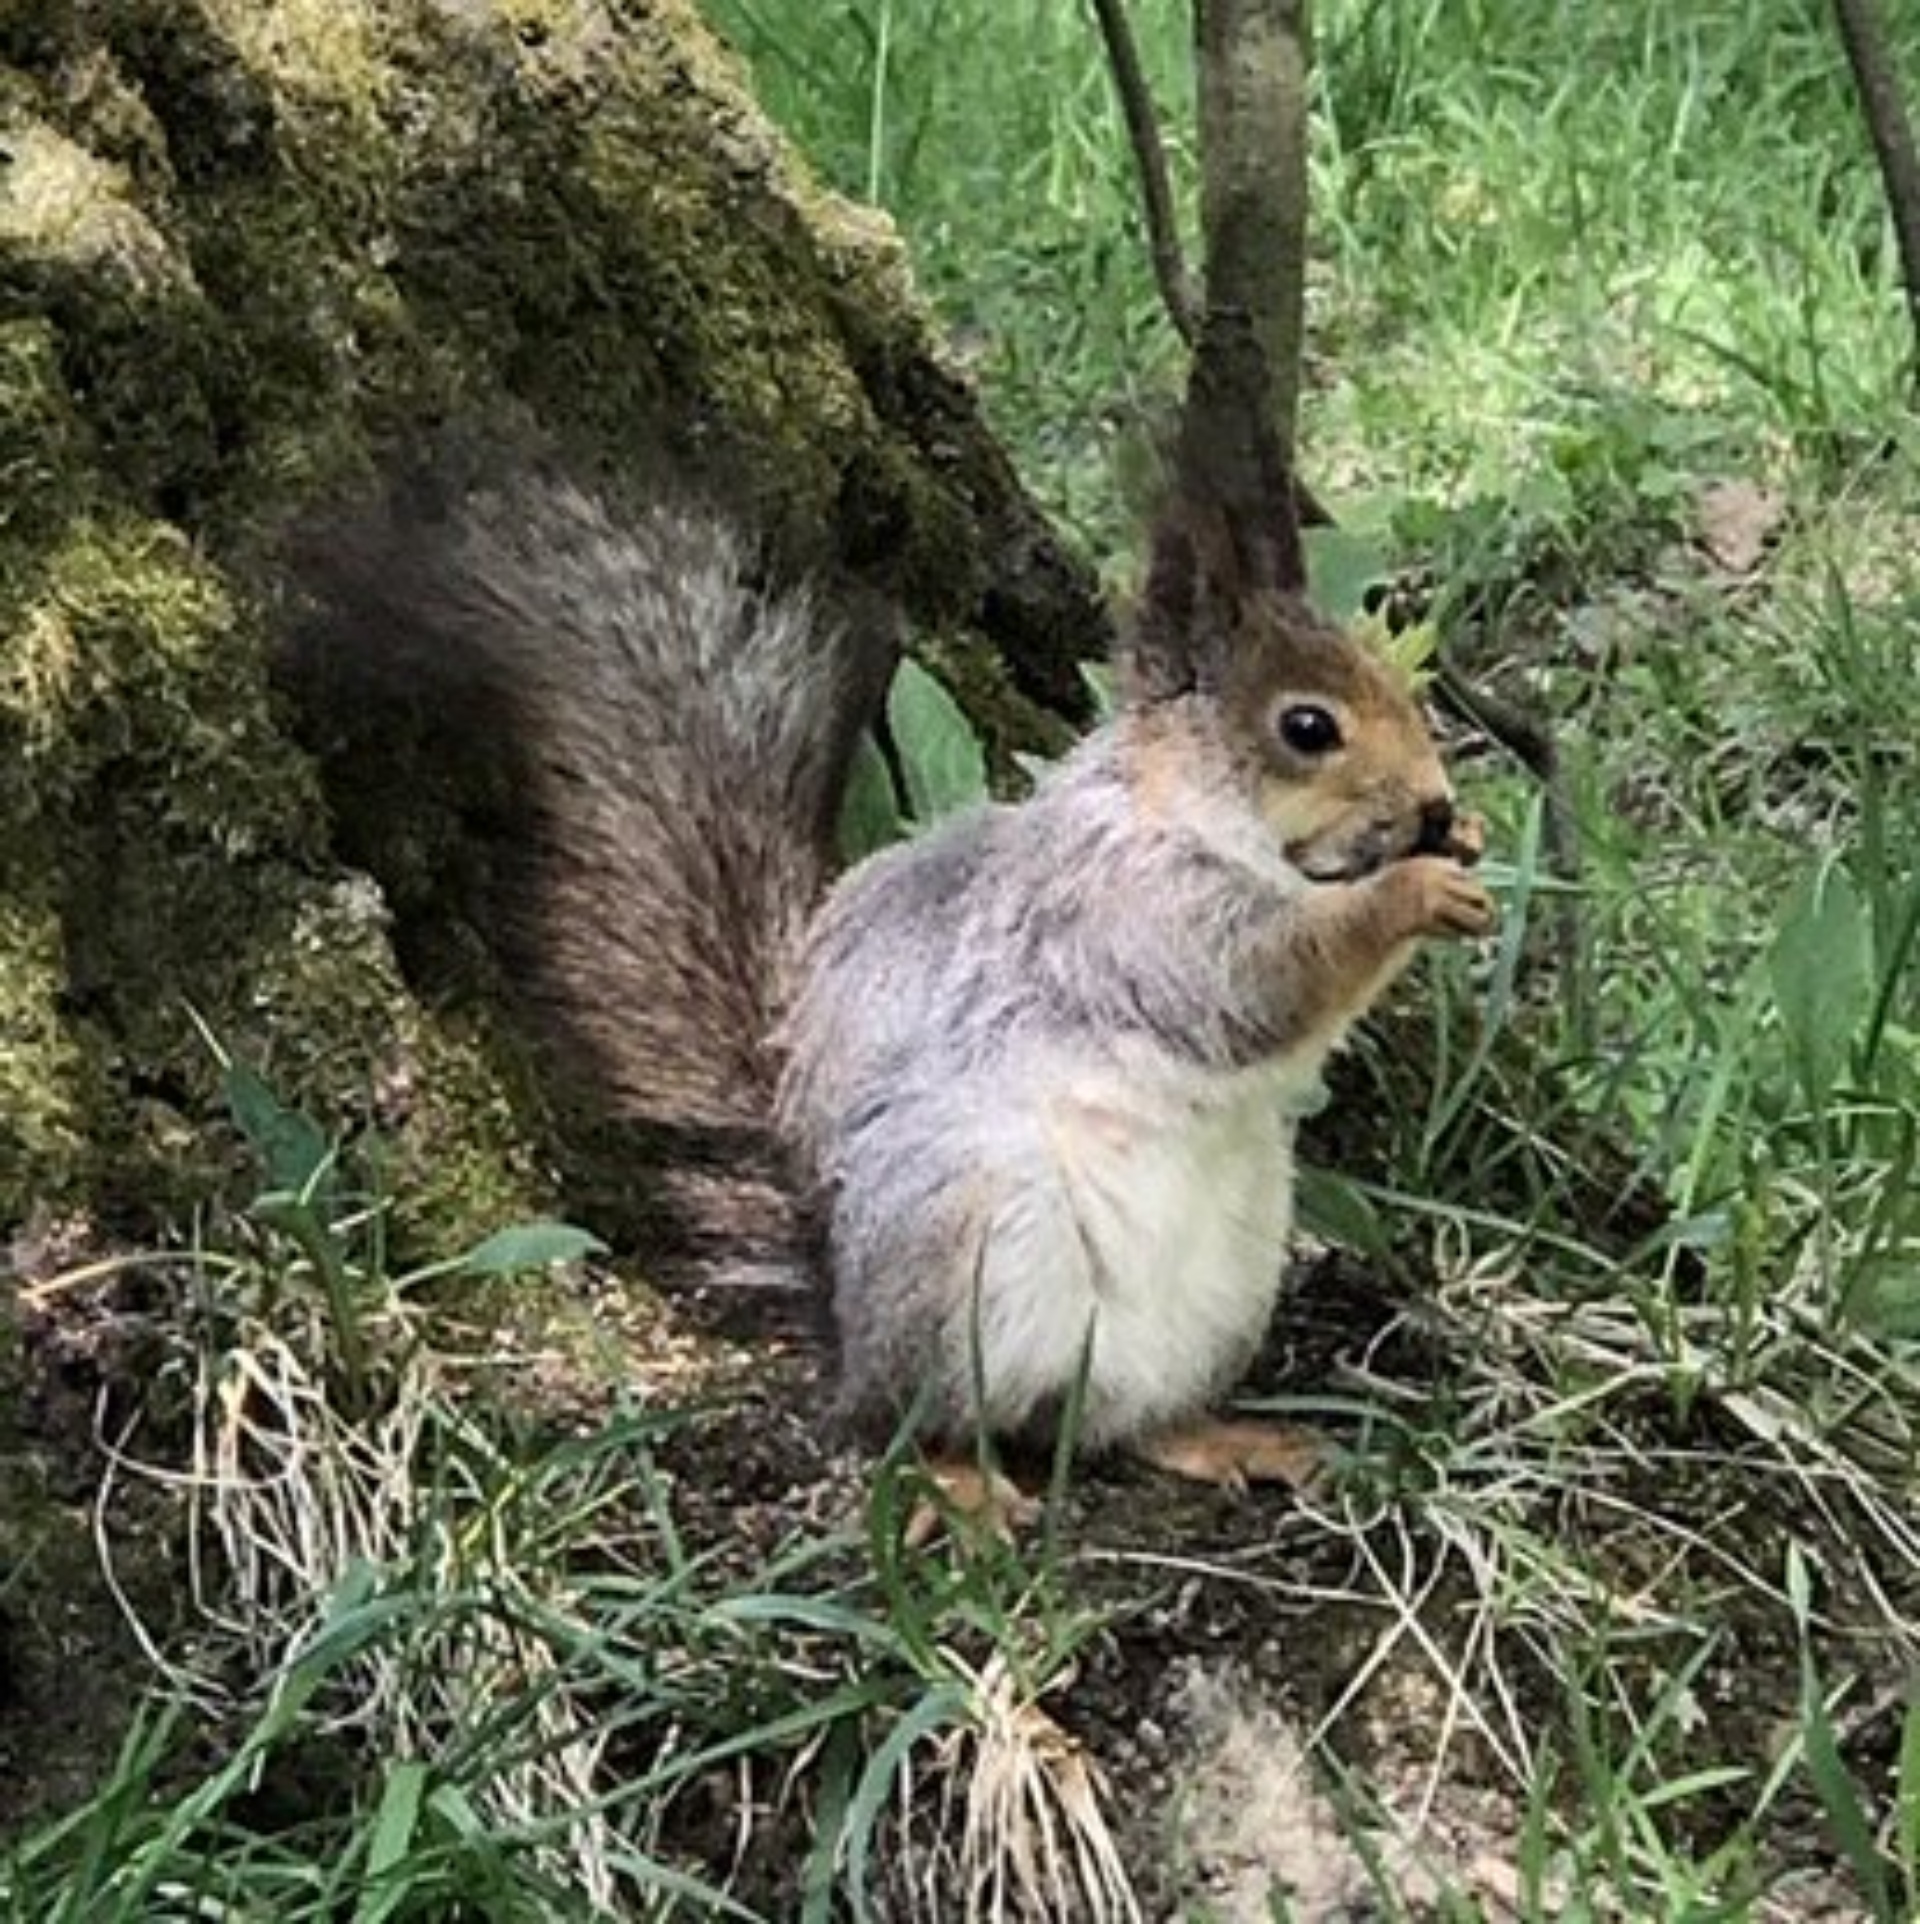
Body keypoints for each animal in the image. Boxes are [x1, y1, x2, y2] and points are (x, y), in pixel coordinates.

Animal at [284, 338, 1492, 1523]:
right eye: (1307, 727)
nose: (1435, 804)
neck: (1191, 814)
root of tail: (846, 1325)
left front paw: (1463, 841)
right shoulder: (1126, 915)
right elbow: (1263, 981)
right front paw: (1411, 895)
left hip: (1225, 1284)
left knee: (1111, 1424)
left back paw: (1217, 1436)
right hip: (959, 1257)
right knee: (906, 1424)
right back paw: (959, 1482)